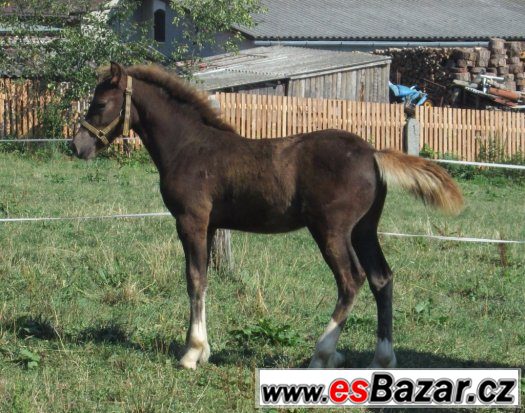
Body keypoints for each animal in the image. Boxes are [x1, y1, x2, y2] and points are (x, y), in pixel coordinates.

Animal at [71, 62, 460, 368]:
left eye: (100, 103)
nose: (78, 146)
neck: (189, 146)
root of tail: (373, 153)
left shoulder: (190, 222)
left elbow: (194, 279)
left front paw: (191, 353)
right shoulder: (209, 226)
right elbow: (204, 279)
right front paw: (204, 349)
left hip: (331, 231)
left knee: (352, 280)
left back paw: (322, 354)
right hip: (364, 230)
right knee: (382, 279)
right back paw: (382, 358)